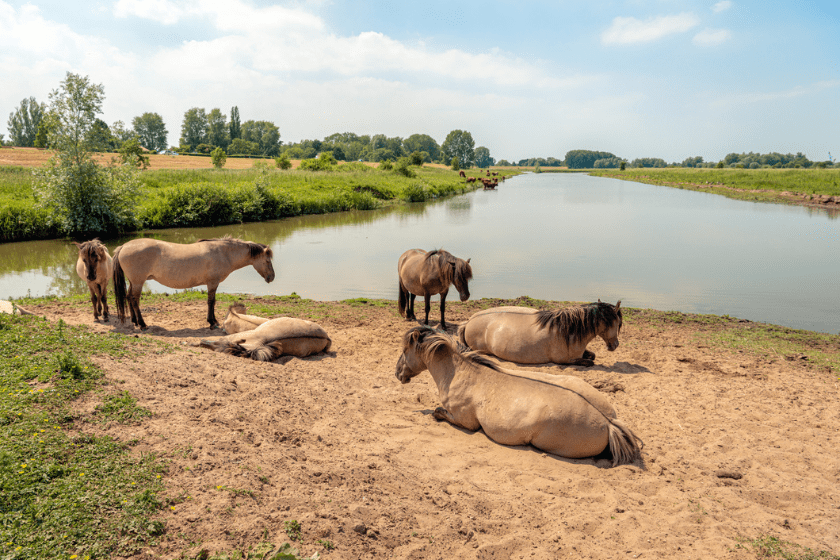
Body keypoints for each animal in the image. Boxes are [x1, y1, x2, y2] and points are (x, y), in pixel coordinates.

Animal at [111, 235, 274, 330]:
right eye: (267, 260)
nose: (271, 277)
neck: (223, 253)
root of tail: (124, 246)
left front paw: (212, 321)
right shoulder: (212, 283)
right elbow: (211, 302)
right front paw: (212, 322)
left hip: (133, 281)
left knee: (129, 297)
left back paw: (134, 321)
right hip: (138, 282)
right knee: (134, 299)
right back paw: (142, 324)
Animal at [398, 326, 640, 466]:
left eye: (405, 350)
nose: (397, 373)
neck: (461, 372)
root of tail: (609, 422)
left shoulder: (465, 422)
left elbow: (437, 412)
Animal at [460, 302, 624, 368]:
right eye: (617, 323)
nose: (615, 345)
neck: (567, 331)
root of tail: (469, 321)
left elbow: (592, 356)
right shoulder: (565, 360)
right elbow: (590, 362)